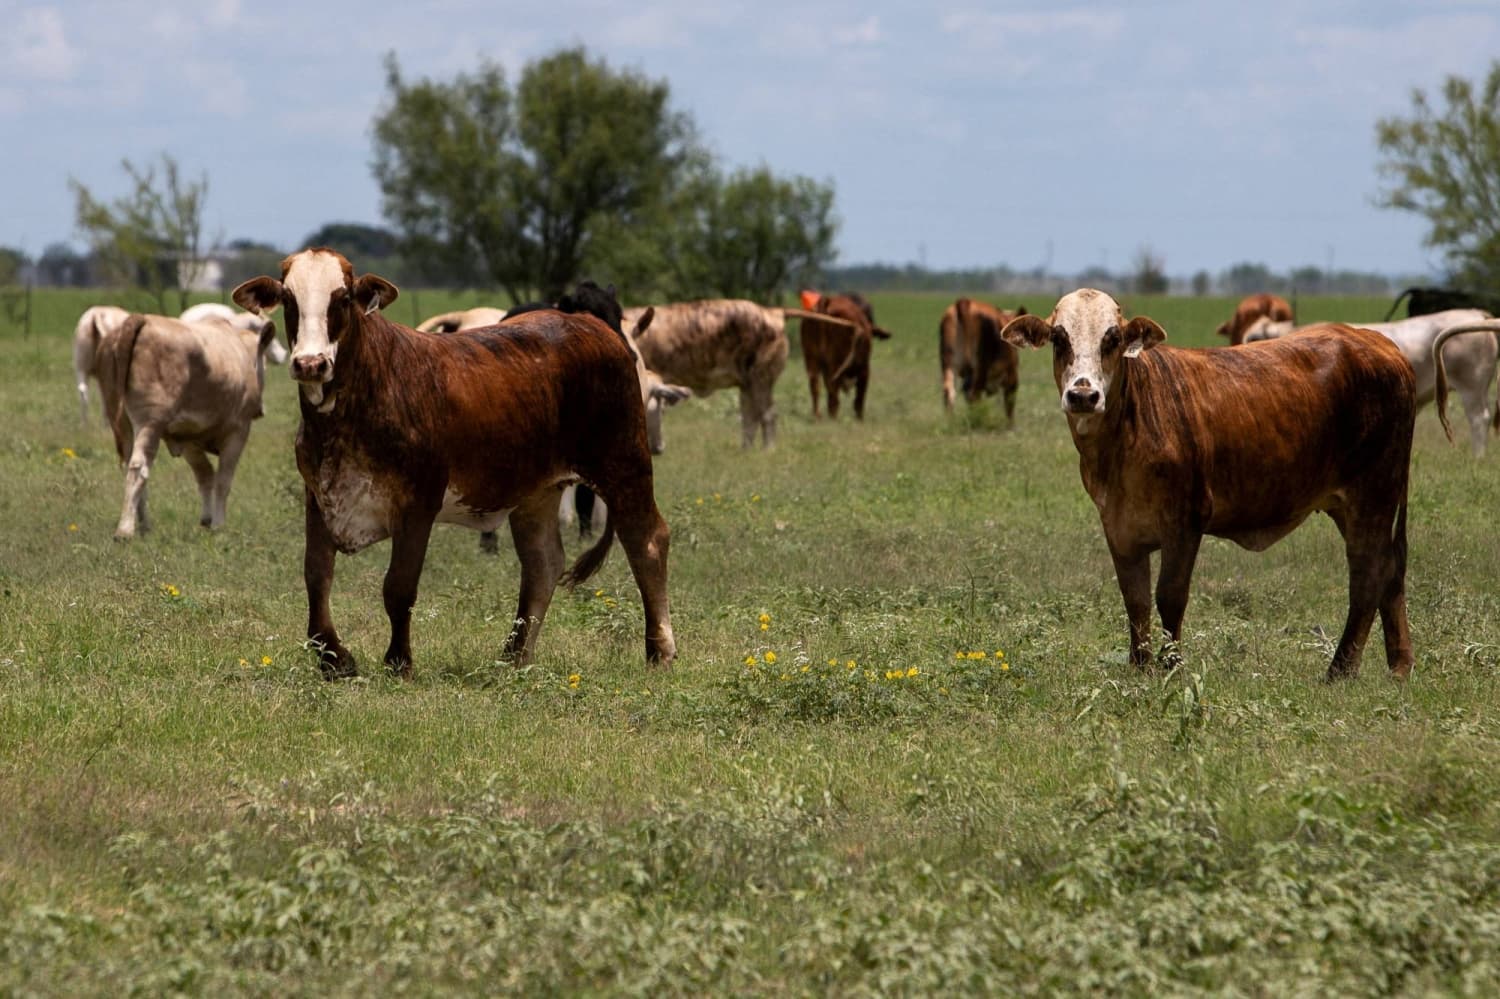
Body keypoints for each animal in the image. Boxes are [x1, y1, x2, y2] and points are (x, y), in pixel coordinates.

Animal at [95, 313, 278, 539]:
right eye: (265, 365)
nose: (260, 410)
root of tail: (142, 319)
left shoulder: (188, 438)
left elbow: (205, 475)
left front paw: (207, 519)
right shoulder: (238, 431)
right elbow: (223, 481)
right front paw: (218, 525)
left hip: (123, 424)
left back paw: (144, 526)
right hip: (149, 423)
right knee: (138, 469)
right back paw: (125, 530)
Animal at [232, 248, 675, 677]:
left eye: (342, 298)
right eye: (289, 299)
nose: (310, 363)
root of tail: (593, 327)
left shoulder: (418, 505)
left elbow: (398, 587)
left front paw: (399, 662)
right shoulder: (321, 496)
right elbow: (316, 576)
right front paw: (334, 658)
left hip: (624, 466)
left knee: (647, 541)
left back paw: (660, 651)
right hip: (537, 492)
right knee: (543, 564)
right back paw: (514, 657)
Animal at [1001, 288, 1416, 680]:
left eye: (1113, 338)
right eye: (1059, 338)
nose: (1083, 395)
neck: (1124, 438)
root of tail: (1382, 346)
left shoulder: (1185, 523)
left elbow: (1169, 596)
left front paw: (1171, 667)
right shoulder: (1118, 527)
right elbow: (1135, 600)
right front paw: (1140, 667)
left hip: (1373, 496)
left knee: (1368, 575)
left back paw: (1340, 670)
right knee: (1389, 570)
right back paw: (1398, 666)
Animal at [1243, 309, 1496, 456]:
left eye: (1253, 337)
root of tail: (1476, 313)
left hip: (1471, 387)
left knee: (1478, 420)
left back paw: (1477, 458)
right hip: (1480, 388)